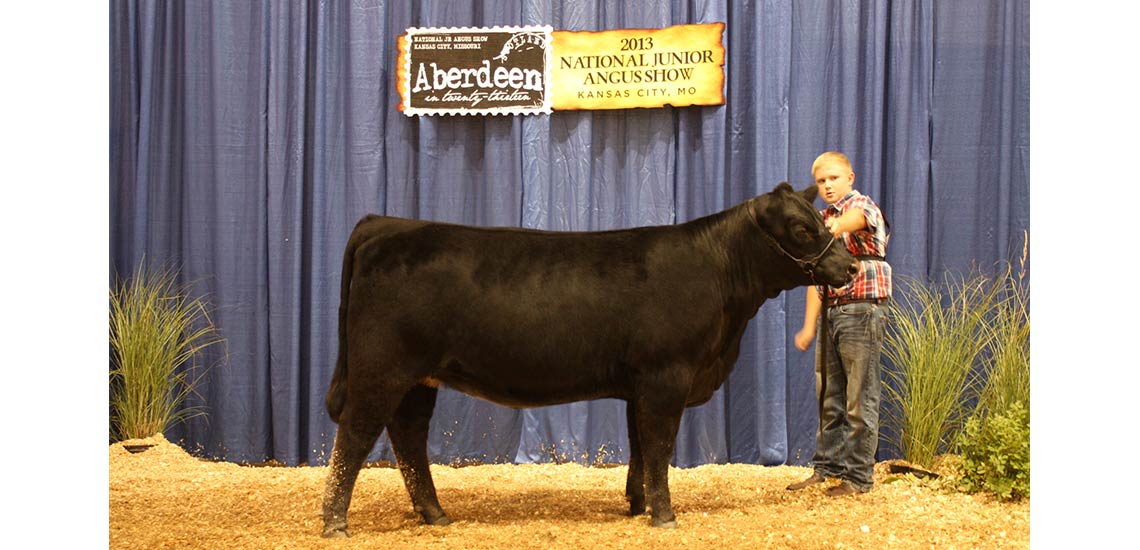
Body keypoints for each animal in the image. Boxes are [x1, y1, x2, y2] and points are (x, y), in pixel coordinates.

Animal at [321, 182, 857, 534]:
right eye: (801, 228)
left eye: (822, 221)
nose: (851, 266)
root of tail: (385, 224)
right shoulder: (666, 376)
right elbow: (659, 446)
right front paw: (665, 517)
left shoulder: (641, 383)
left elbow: (640, 446)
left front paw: (638, 505)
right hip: (382, 369)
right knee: (355, 435)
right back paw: (335, 522)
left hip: (419, 379)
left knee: (408, 437)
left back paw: (435, 515)